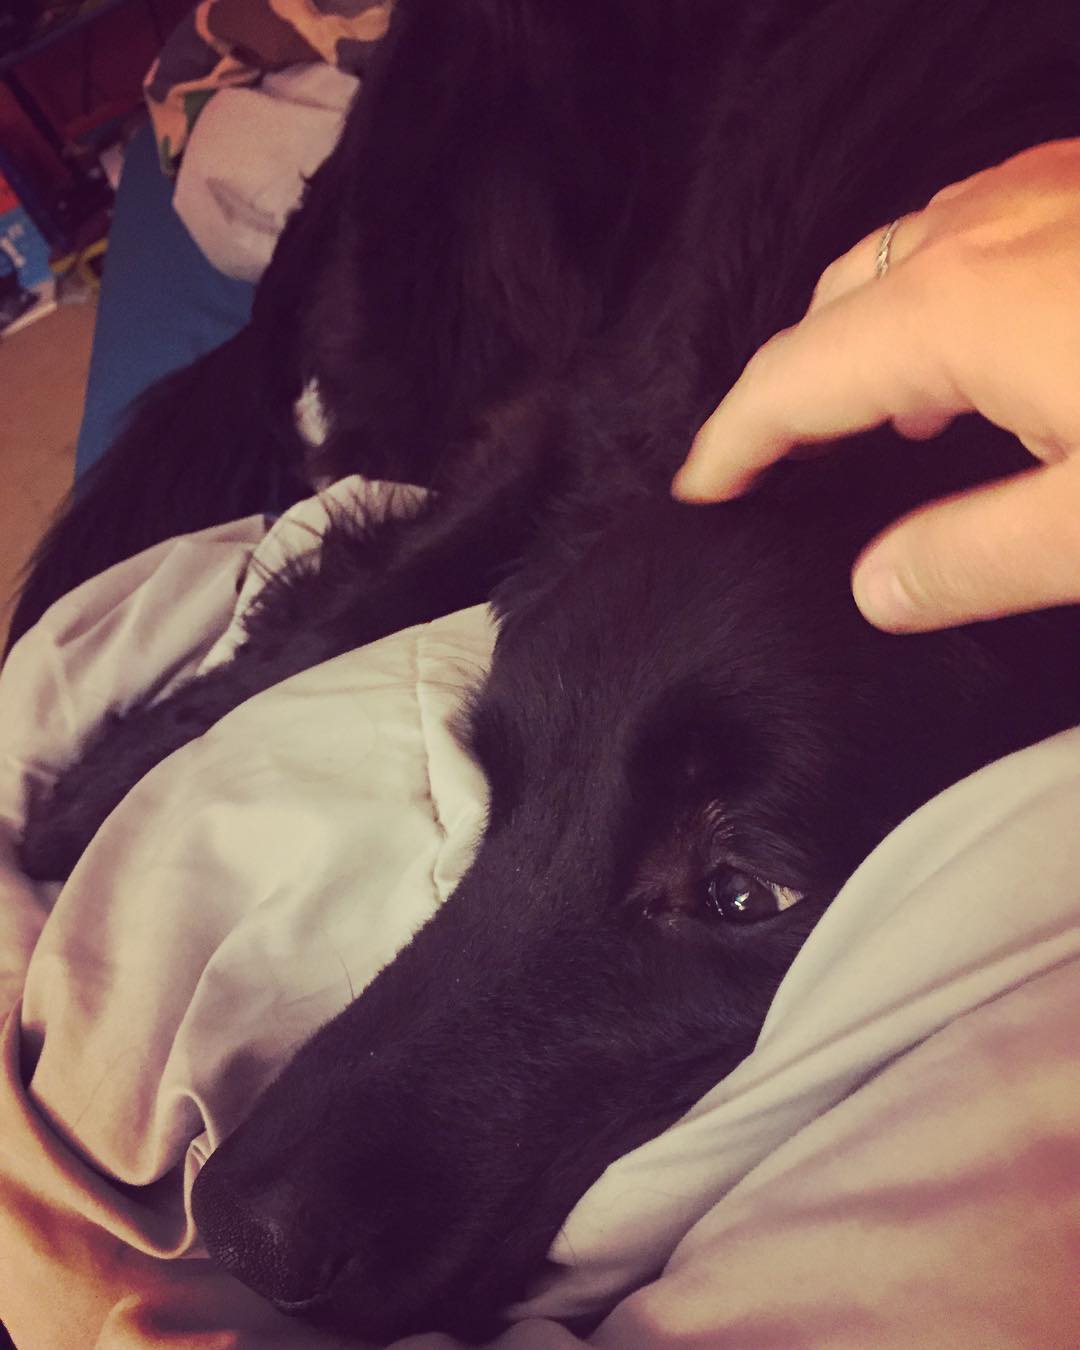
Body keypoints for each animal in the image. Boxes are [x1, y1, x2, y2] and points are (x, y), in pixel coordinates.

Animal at [12, 0, 1080, 1341]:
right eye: (494, 789)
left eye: (747, 895)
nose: (235, 1235)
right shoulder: (593, 417)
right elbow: (355, 597)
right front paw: (88, 797)